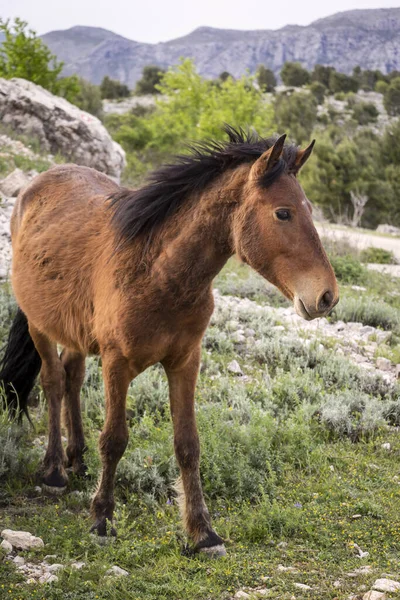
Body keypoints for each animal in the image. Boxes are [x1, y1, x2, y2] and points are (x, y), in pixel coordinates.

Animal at [0, 127, 338, 556]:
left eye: (309, 209)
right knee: (54, 382)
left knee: (72, 376)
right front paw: (102, 519)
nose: (327, 296)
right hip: (41, 325)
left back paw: (77, 460)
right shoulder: (116, 363)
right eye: (283, 213)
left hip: (75, 331)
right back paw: (55, 470)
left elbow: (188, 444)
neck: (159, 273)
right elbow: (114, 439)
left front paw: (202, 532)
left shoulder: (185, 362)